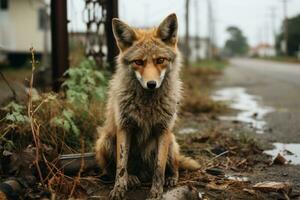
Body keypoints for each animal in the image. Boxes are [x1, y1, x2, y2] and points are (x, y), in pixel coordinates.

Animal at [95, 13, 200, 199]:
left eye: (160, 60)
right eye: (138, 62)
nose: (151, 84)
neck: (147, 106)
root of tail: (143, 173)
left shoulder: (163, 129)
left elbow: (159, 168)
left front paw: (156, 192)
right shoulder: (125, 126)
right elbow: (121, 167)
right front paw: (119, 189)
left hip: (171, 143)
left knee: (174, 166)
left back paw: (171, 178)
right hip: (105, 142)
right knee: (113, 170)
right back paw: (131, 178)